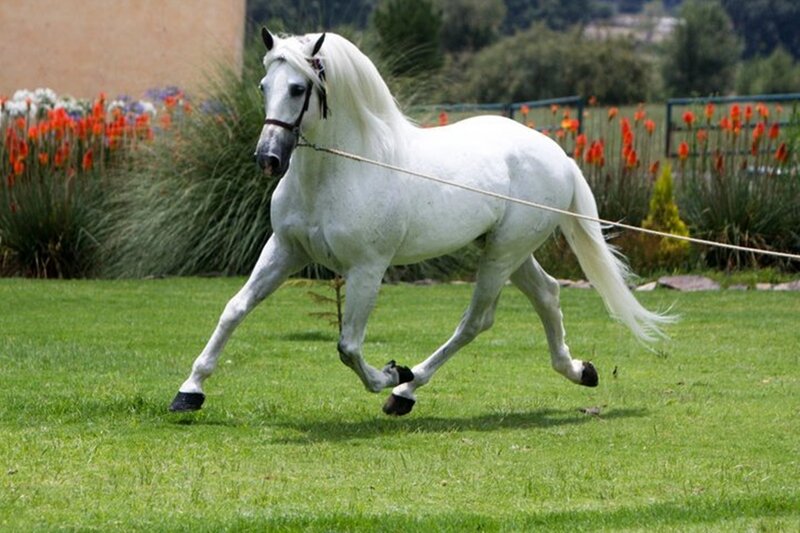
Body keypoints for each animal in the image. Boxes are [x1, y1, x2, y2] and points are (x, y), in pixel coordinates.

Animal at [169, 28, 673, 416]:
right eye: (262, 85)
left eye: (298, 88)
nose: (268, 159)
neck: (343, 169)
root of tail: (557, 155)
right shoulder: (284, 250)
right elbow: (234, 309)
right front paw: (189, 392)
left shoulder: (367, 269)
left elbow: (348, 347)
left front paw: (392, 372)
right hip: (501, 249)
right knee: (547, 294)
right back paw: (579, 371)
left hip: (502, 254)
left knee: (476, 321)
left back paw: (404, 391)